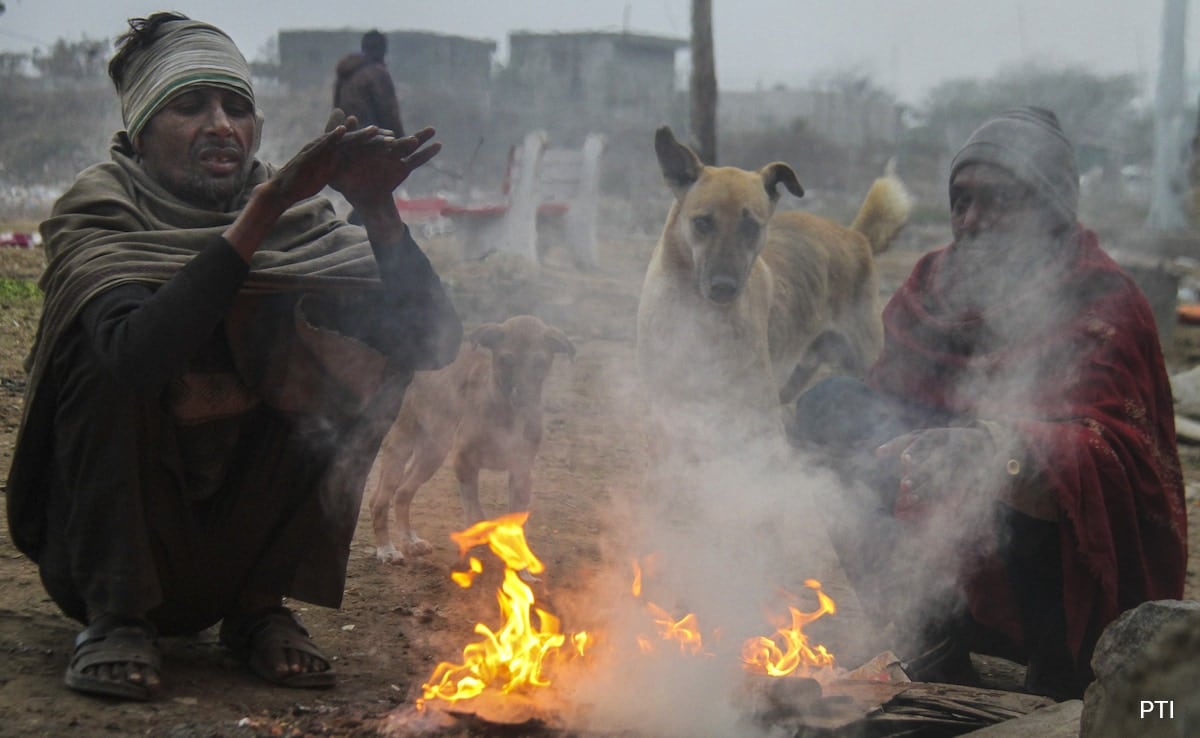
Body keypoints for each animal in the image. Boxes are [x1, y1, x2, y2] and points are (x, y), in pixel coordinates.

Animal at [367, 314, 573, 564]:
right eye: (506, 360)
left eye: (540, 363)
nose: (524, 398)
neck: (506, 413)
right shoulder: (464, 462)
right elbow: (476, 513)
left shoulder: (522, 471)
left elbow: (516, 524)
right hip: (401, 445)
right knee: (379, 500)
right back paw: (386, 549)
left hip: (433, 451)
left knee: (402, 493)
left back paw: (410, 541)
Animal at [638, 124, 907, 453]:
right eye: (702, 222)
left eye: (751, 226)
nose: (724, 287)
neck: (700, 316)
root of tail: (856, 236)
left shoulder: (760, 417)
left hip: (865, 362)